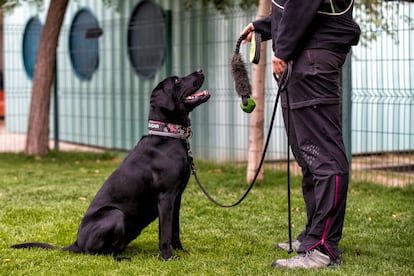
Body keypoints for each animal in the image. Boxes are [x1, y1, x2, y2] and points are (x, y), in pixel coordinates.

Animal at [11, 70, 210, 260]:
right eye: (176, 80)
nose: (200, 70)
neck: (167, 135)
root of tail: (76, 243)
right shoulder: (166, 196)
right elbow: (165, 233)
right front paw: (168, 257)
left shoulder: (177, 196)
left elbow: (174, 230)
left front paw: (181, 252)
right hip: (115, 214)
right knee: (94, 253)